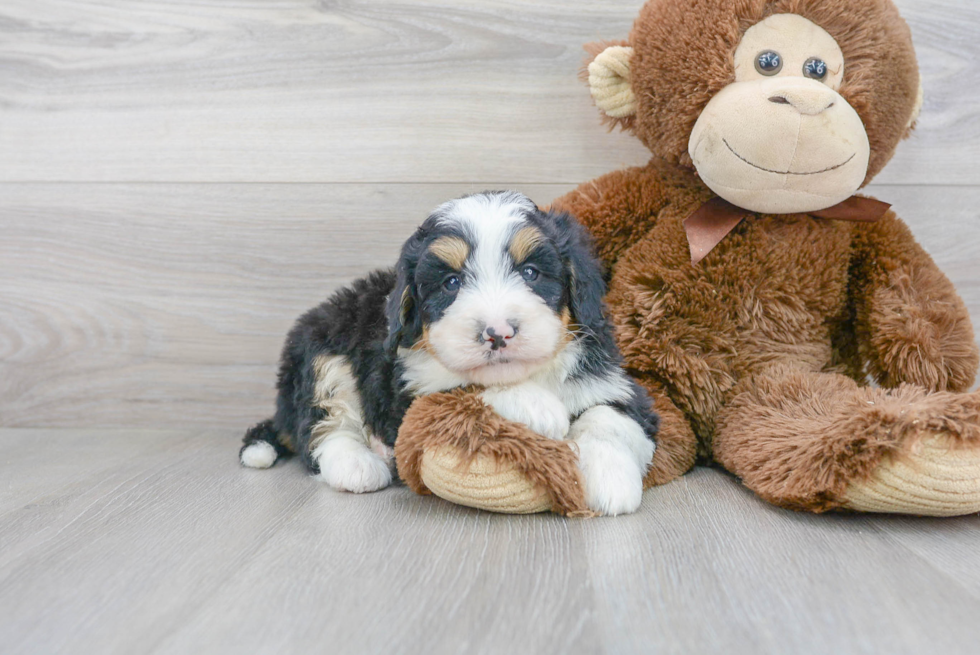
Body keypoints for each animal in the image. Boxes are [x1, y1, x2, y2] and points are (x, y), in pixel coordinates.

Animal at [241, 192, 664, 516]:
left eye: (530, 273)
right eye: (451, 282)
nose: (498, 333)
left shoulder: (612, 384)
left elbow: (607, 417)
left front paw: (610, 478)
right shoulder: (406, 393)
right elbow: (464, 388)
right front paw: (535, 406)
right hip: (320, 349)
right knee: (321, 425)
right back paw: (358, 463)